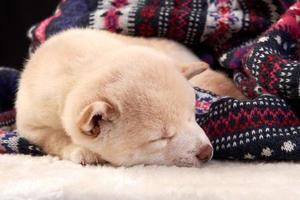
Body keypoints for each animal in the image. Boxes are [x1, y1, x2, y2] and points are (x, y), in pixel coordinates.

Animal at [16, 28, 238, 168]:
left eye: (192, 117)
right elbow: (53, 137)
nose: (206, 152)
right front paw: (80, 149)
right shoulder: (30, 124)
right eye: (160, 138)